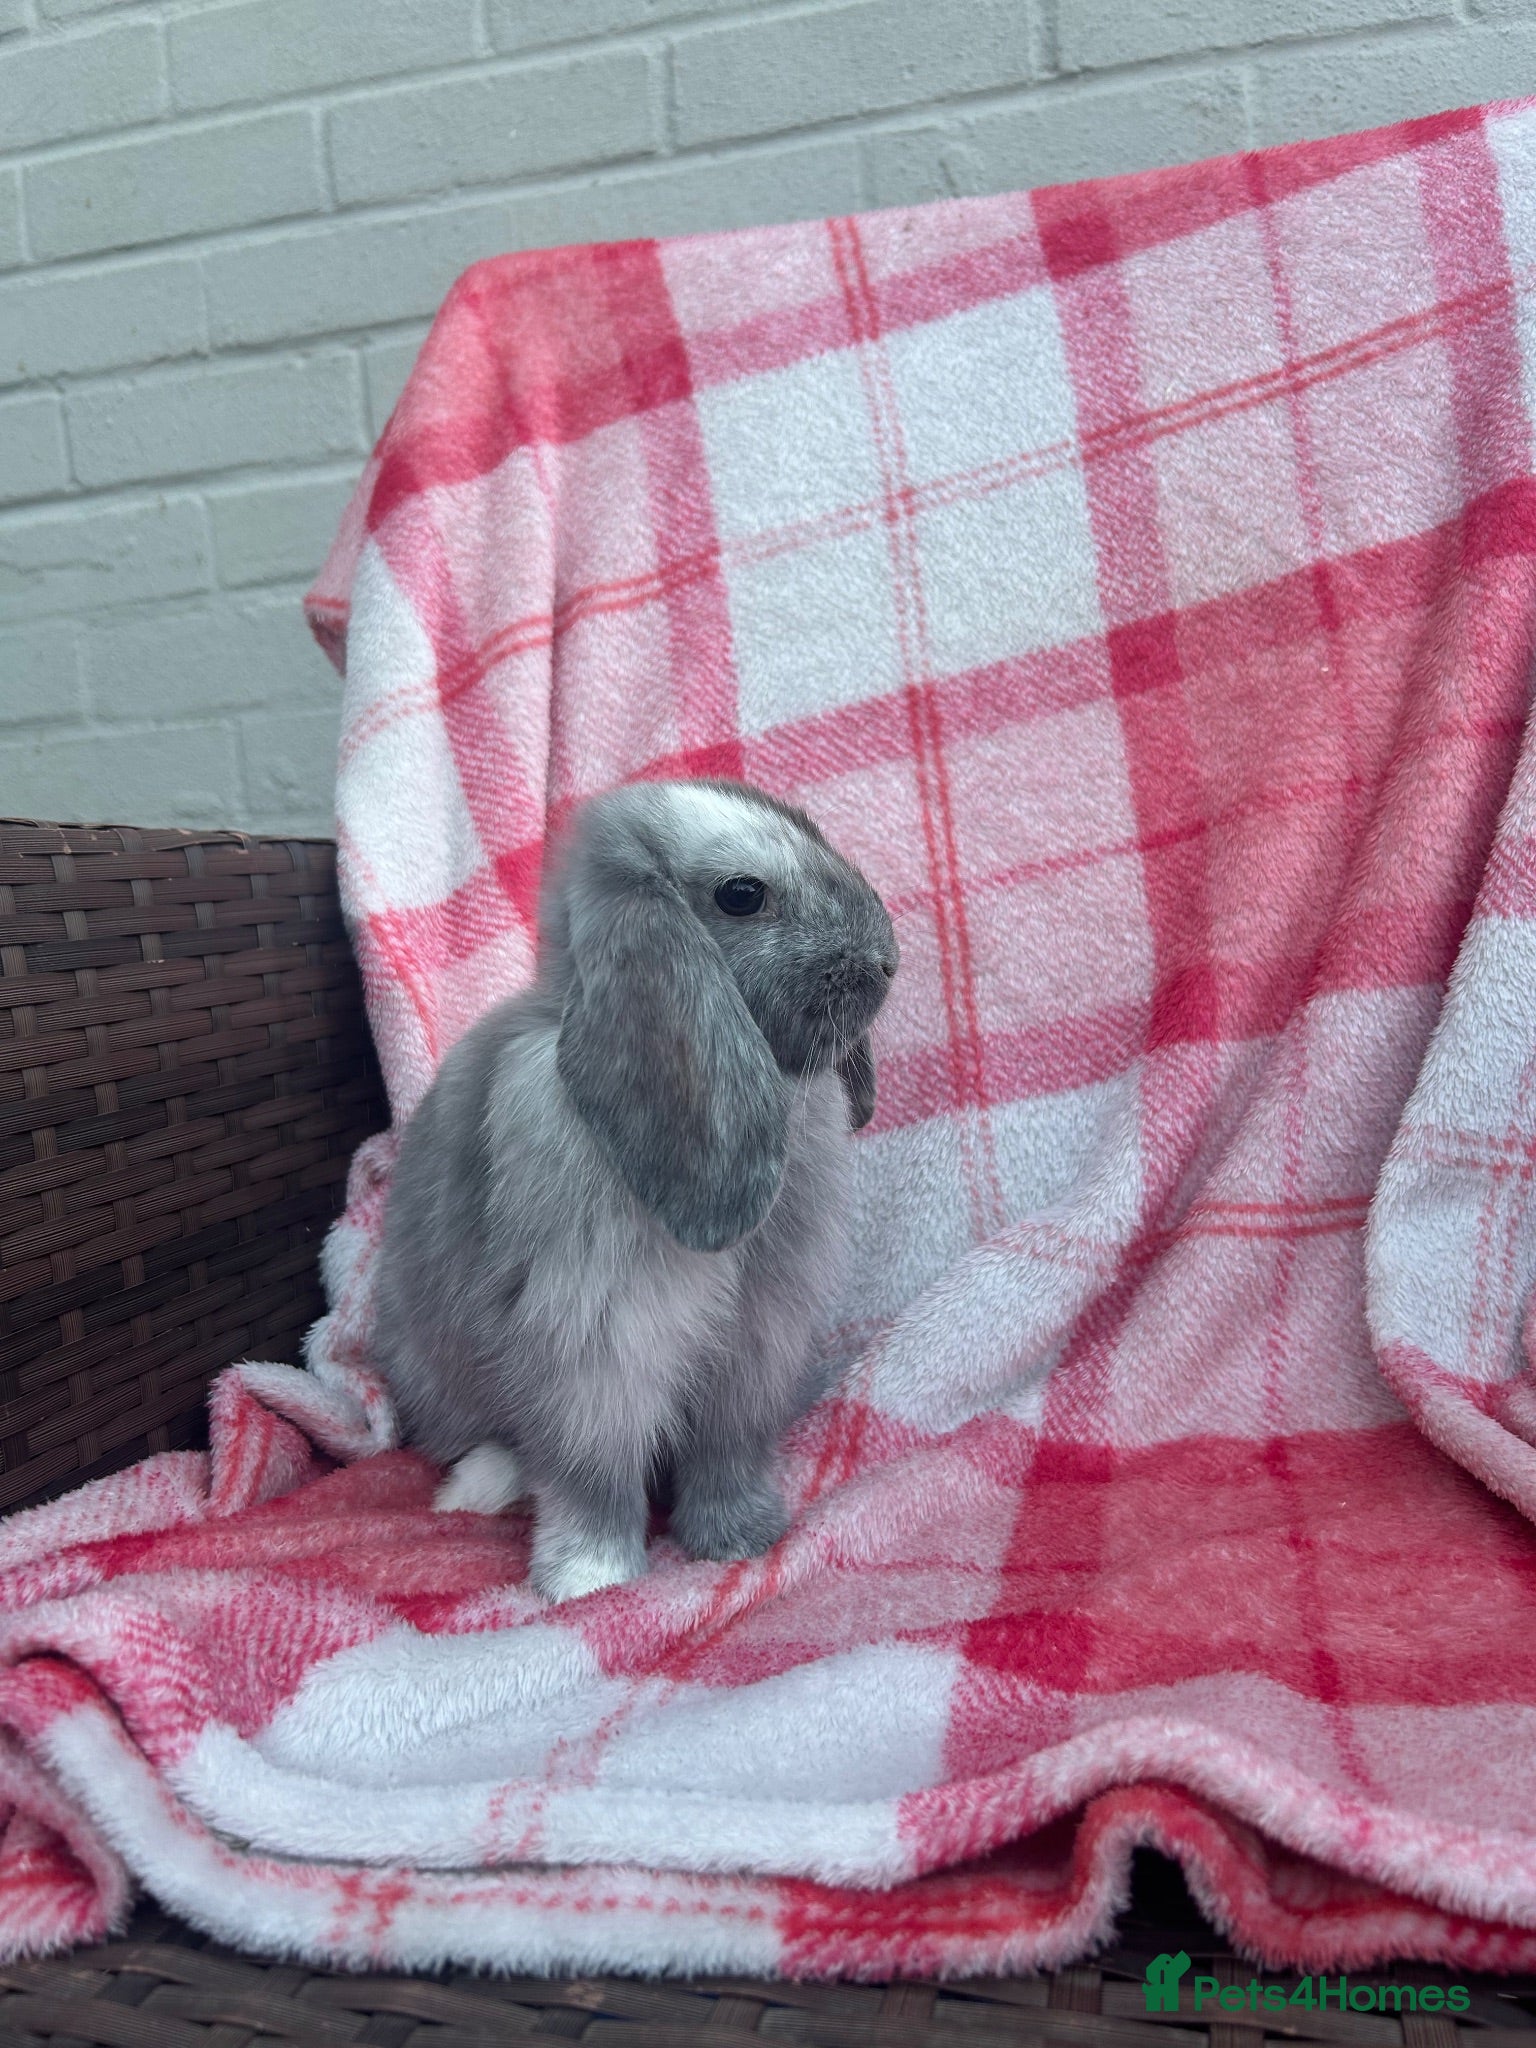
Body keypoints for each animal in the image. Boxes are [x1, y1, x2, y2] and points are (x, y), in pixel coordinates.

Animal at [369, 778, 898, 1604]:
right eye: (741, 895)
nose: (886, 960)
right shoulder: (599, 1344)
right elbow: (591, 1470)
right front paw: (589, 1580)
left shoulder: (752, 1352)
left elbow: (725, 1457)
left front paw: (742, 1539)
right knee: (492, 1443)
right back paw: (476, 1489)